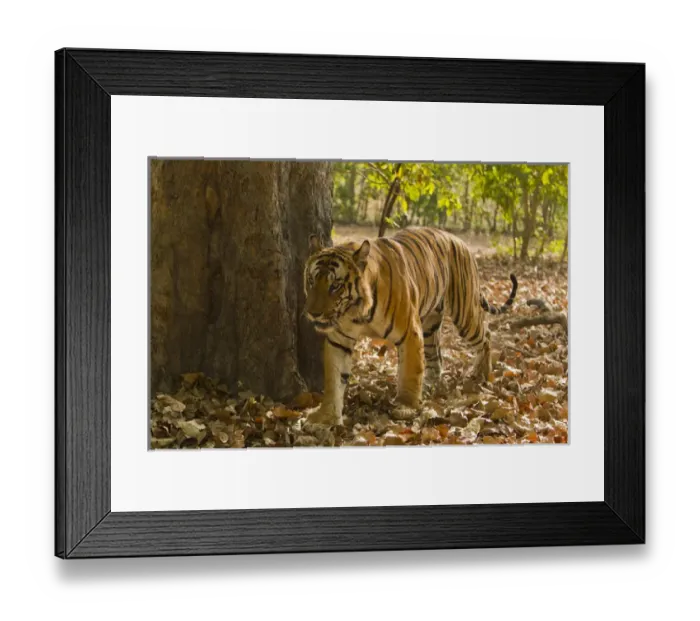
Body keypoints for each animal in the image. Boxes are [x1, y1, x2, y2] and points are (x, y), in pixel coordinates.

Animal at [302, 226, 517, 426]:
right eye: (311, 281)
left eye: (335, 286)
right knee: (436, 358)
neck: (357, 313)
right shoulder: (339, 340)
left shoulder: (410, 332)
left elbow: (410, 371)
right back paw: (429, 385)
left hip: (465, 314)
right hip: (430, 325)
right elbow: (334, 379)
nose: (313, 313)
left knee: (486, 335)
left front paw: (406, 406)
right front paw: (325, 416)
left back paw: (481, 373)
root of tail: (460, 241)